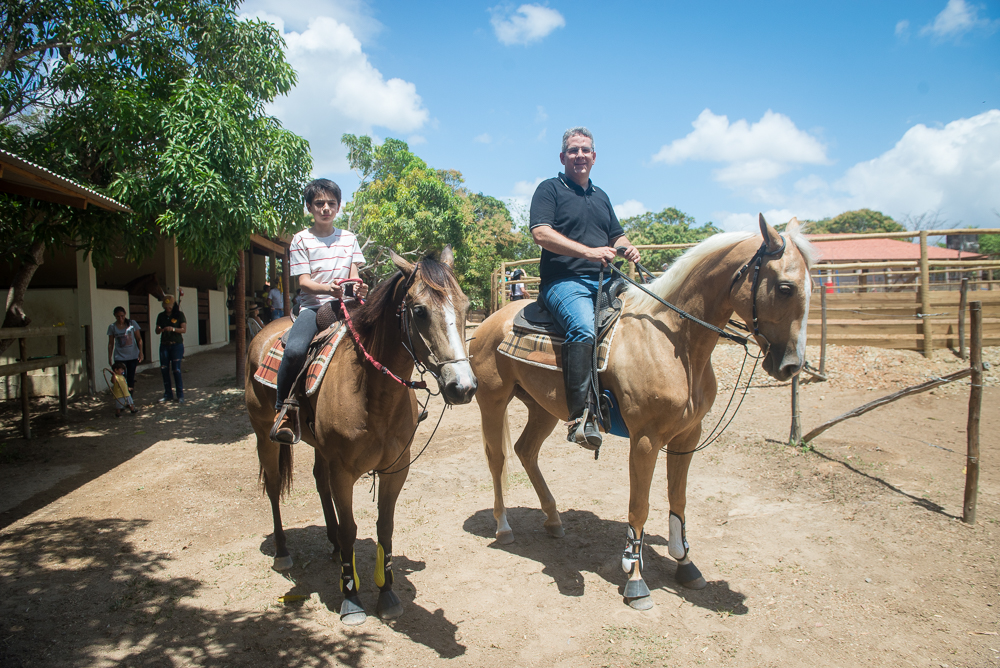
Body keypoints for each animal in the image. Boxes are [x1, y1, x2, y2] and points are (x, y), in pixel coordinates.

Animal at [244, 249, 474, 628]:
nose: (463, 387)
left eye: (466, 306)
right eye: (420, 311)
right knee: (275, 486)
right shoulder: (343, 471)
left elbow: (385, 526)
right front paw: (351, 598)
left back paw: (334, 546)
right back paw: (282, 551)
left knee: (318, 482)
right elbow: (351, 528)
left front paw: (387, 593)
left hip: (319, 448)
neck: (370, 393)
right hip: (264, 433)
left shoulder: (396, 469)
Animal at [468, 215, 812, 612]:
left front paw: (686, 564)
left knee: (526, 451)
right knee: (497, 458)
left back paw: (553, 520)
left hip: (544, 408)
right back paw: (503, 526)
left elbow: (678, 500)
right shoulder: (646, 439)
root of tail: (488, 323)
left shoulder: (687, 436)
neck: (673, 341)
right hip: (493, 400)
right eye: (785, 287)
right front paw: (635, 580)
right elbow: (640, 507)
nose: (791, 365)